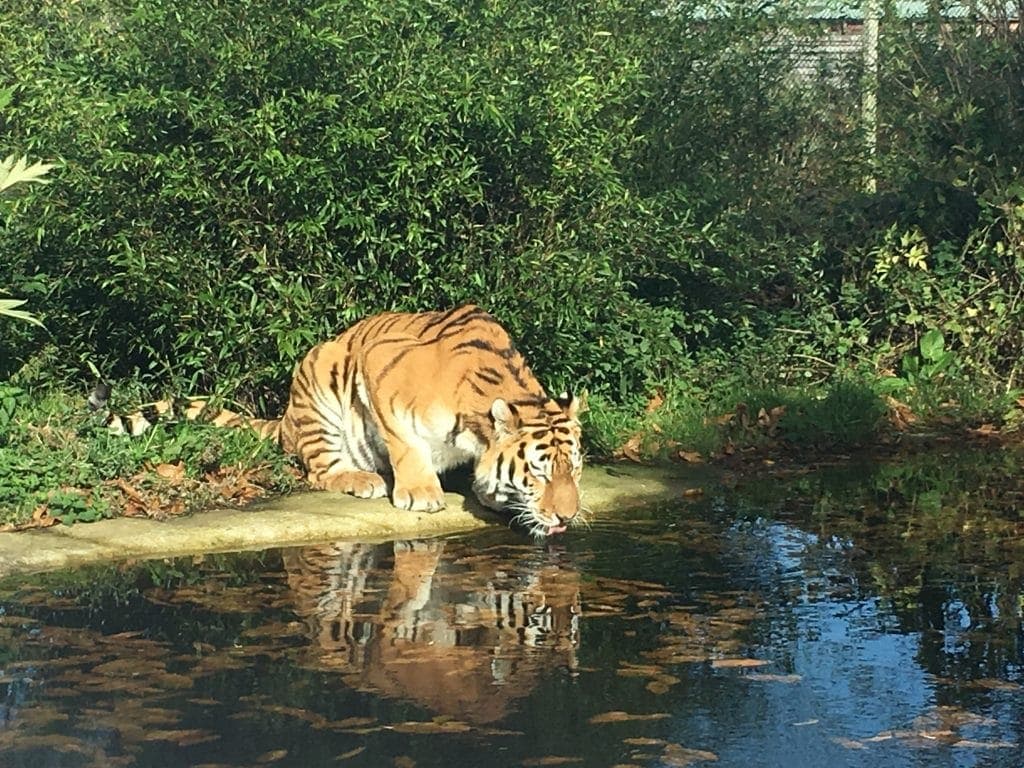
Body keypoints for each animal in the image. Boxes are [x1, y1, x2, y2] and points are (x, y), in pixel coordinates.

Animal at [101, 305, 593, 536]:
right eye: (538, 473)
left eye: (575, 471)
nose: (567, 517)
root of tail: (285, 417)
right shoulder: (382, 370)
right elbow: (406, 446)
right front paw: (421, 494)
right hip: (323, 369)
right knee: (320, 470)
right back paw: (363, 479)